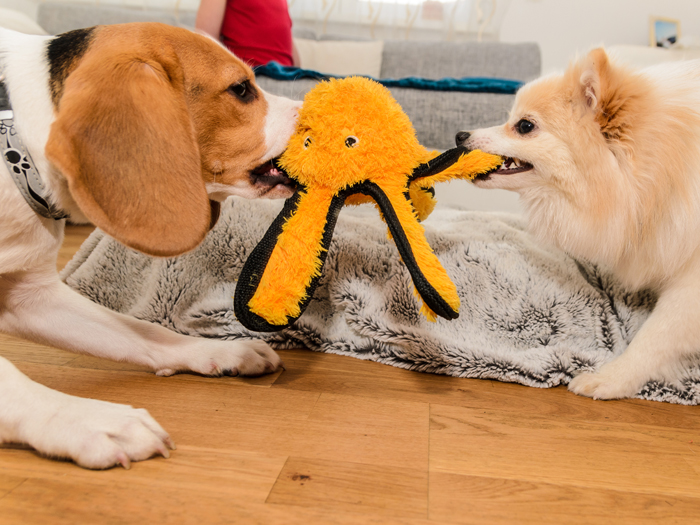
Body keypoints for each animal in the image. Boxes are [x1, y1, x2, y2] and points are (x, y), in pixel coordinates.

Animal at [0, 23, 298, 466]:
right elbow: (10, 380)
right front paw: (87, 420)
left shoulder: (30, 296)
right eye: (242, 89)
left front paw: (217, 352)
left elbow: (143, 332)